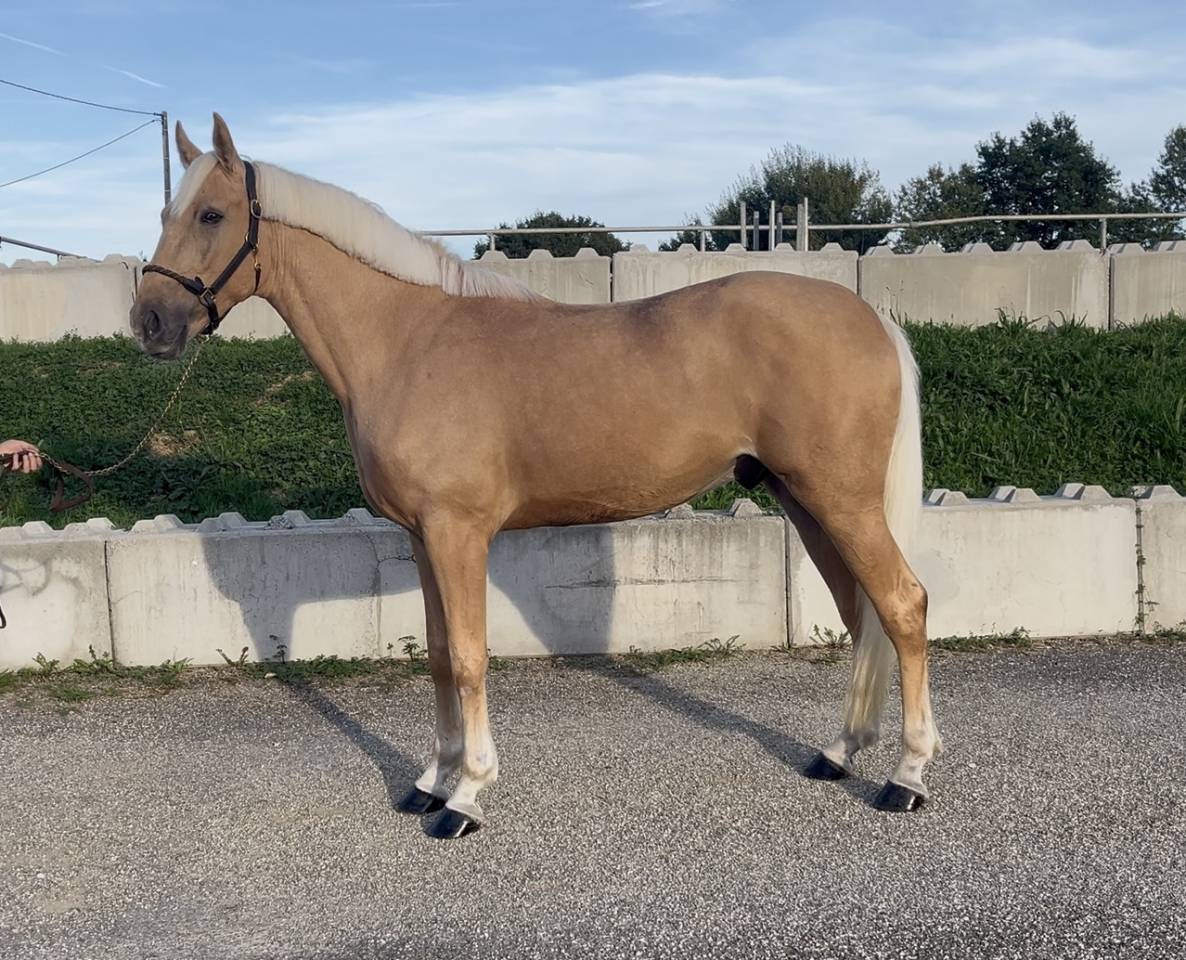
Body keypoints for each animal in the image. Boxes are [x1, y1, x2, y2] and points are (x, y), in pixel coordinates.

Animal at [129, 114, 940, 839]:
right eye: (166, 212)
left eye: (211, 214)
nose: (149, 323)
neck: (407, 338)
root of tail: (869, 317)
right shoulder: (423, 537)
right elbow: (437, 653)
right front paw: (432, 780)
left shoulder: (458, 533)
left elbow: (467, 657)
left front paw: (466, 797)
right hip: (805, 501)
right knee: (863, 614)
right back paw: (839, 752)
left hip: (841, 503)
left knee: (902, 605)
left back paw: (906, 778)